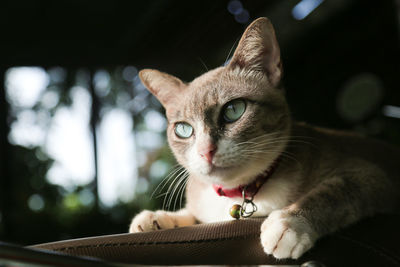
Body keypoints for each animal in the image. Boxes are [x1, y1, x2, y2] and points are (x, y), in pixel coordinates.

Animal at [129, 16, 400, 260]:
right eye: (183, 129)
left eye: (233, 110)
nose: (206, 151)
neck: (245, 192)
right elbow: (191, 215)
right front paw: (156, 218)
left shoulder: (371, 176)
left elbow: (334, 192)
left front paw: (290, 223)